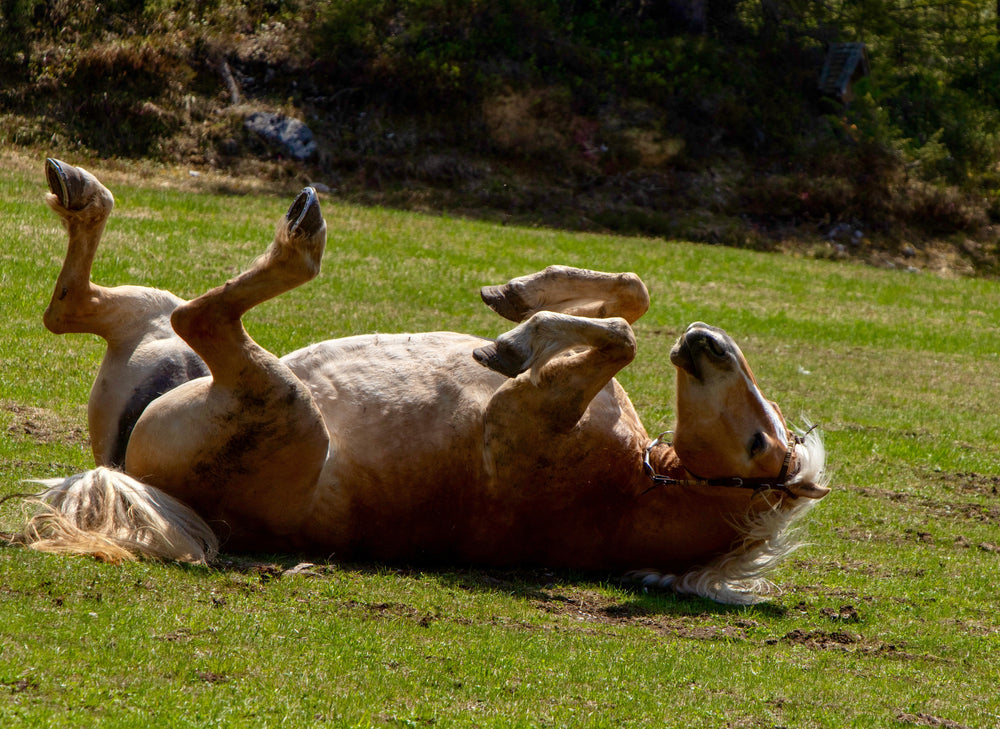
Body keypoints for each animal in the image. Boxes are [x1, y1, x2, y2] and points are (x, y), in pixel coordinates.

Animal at [12, 159, 829, 605]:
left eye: (761, 445)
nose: (706, 344)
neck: (637, 484)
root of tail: (123, 472)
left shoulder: (525, 416)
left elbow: (621, 337)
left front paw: (516, 340)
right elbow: (632, 299)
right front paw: (520, 299)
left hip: (274, 398)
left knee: (199, 316)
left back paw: (301, 233)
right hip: (151, 331)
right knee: (73, 307)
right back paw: (78, 190)